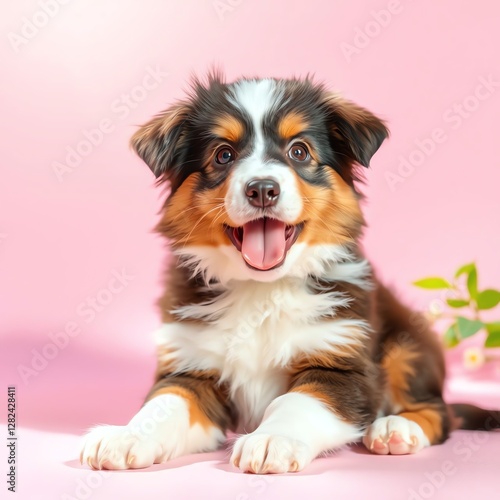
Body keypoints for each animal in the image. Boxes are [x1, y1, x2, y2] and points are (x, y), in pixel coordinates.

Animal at [80, 73, 498, 472]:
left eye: (299, 151)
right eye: (223, 155)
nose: (262, 189)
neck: (261, 290)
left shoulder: (340, 362)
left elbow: (298, 402)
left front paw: (272, 439)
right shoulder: (191, 365)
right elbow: (165, 403)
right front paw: (126, 436)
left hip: (409, 342)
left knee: (440, 411)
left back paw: (396, 429)